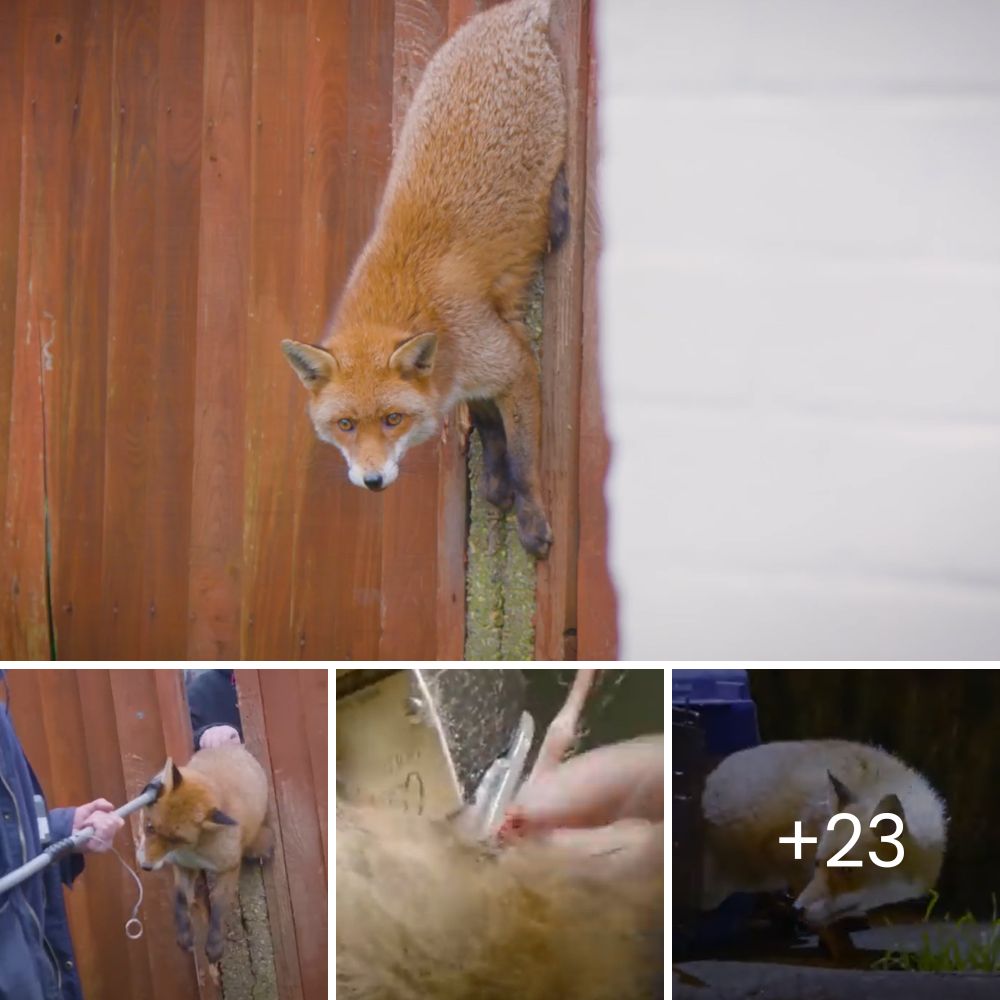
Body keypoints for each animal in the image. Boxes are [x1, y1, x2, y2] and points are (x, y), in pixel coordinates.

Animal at [137, 748, 272, 964]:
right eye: (149, 827)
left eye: (175, 839)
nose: (146, 867)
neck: (194, 850)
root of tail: (233, 747)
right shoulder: (183, 865)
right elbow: (180, 899)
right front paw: (184, 935)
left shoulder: (229, 867)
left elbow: (218, 907)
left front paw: (215, 945)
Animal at [282, 0, 568, 564]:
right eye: (345, 425)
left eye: (393, 419)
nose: (372, 481)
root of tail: (507, 13)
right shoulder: (469, 374)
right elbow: (487, 425)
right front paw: (495, 483)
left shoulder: (513, 361)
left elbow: (524, 458)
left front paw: (531, 520)